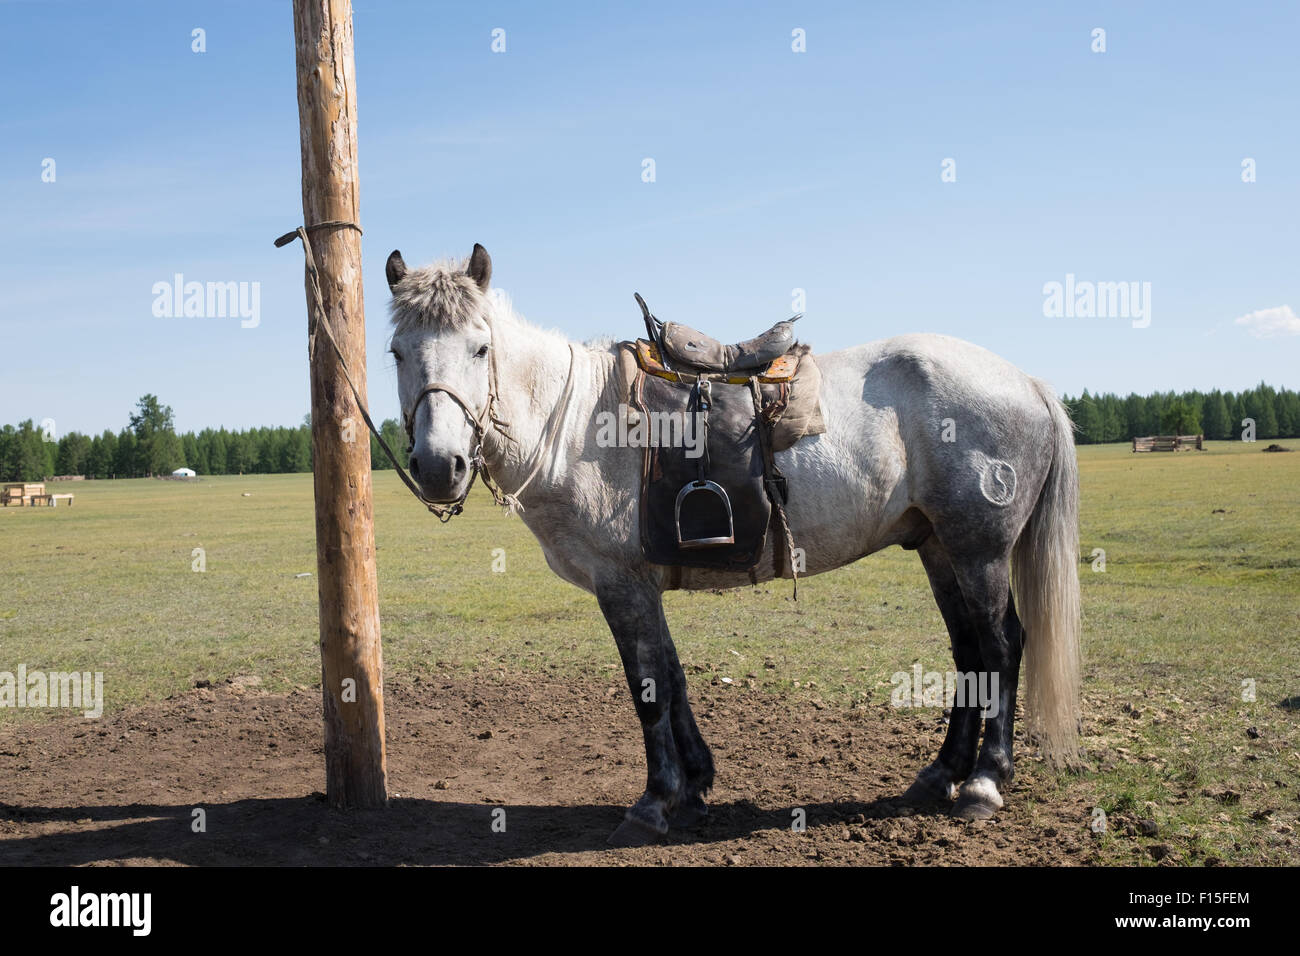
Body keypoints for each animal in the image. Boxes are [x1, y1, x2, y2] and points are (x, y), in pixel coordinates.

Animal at [390, 244, 1081, 842]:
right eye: (396, 352)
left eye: (480, 347)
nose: (439, 466)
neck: (578, 423)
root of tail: (1027, 381)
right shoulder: (644, 584)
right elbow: (672, 678)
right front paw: (694, 787)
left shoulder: (622, 584)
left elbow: (648, 689)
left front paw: (654, 803)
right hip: (939, 548)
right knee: (969, 652)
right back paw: (940, 775)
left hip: (977, 550)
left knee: (1001, 646)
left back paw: (985, 782)